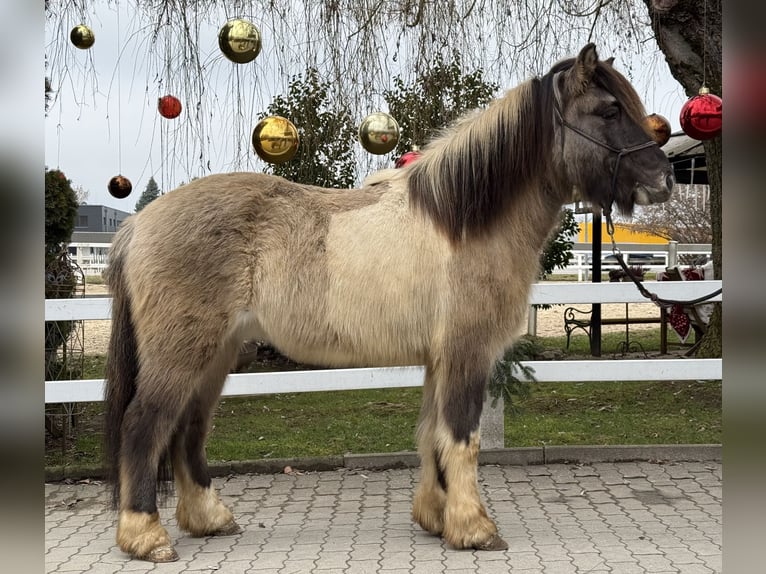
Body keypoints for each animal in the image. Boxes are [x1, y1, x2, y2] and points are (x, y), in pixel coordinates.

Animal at [103, 43, 674, 562]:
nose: (662, 180)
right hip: (182, 353)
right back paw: (146, 536)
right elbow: (461, 437)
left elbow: (432, 435)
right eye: (609, 110)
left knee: (188, 430)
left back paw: (209, 519)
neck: (463, 220)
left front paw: (437, 519)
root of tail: (139, 224)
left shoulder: (439, 359)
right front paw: (474, 529)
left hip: (218, 354)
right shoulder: (467, 353)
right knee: (144, 425)